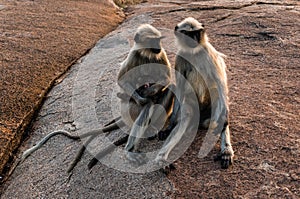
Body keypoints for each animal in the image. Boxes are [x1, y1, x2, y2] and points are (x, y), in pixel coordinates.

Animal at [155, 17, 234, 169]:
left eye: (196, 33)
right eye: (187, 34)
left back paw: (226, 151)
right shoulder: (180, 57)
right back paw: (162, 159)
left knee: (219, 107)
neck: (194, 52)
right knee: (185, 117)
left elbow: (221, 84)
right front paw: (170, 126)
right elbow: (180, 89)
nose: (193, 40)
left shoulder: (209, 52)